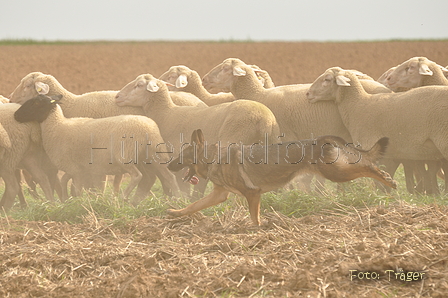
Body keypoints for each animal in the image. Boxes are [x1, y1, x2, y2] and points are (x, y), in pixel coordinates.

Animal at [14, 95, 181, 203]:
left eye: (35, 103)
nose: (16, 115)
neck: (57, 126)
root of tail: (147, 128)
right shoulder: (77, 168)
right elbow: (63, 180)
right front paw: (67, 198)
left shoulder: (75, 169)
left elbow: (76, 187)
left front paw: (78, 202)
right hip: (155, 155)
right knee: (168, 176)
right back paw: (178, 198)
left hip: (124, 156)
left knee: (137, 176)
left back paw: (123, 197)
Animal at [167, 129, 396, 225]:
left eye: (181, 157)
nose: (168, 166)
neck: (213, 158)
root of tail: (320, 139)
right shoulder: (219, 195)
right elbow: (193, 206)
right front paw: (175, 213)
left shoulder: (252, 194)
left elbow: (255, 218)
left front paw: (257, 231)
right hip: (336, 172)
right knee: (365, 165)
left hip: (336, 174)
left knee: (368, 167)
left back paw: (387, 179)